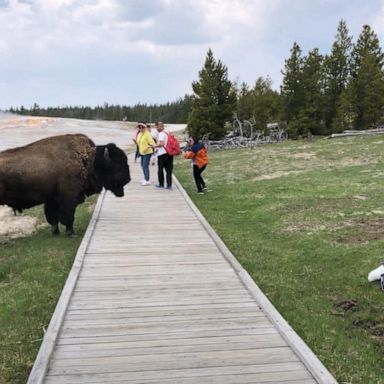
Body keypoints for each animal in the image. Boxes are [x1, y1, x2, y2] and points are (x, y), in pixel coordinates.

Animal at [0, 135, 130, 237]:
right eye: (117, 165)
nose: (128, 179)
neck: (88, 160)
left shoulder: (52, 199)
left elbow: (53, 217)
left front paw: (55, 232)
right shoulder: (68, 198)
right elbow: (68, 216)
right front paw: (70, 233)